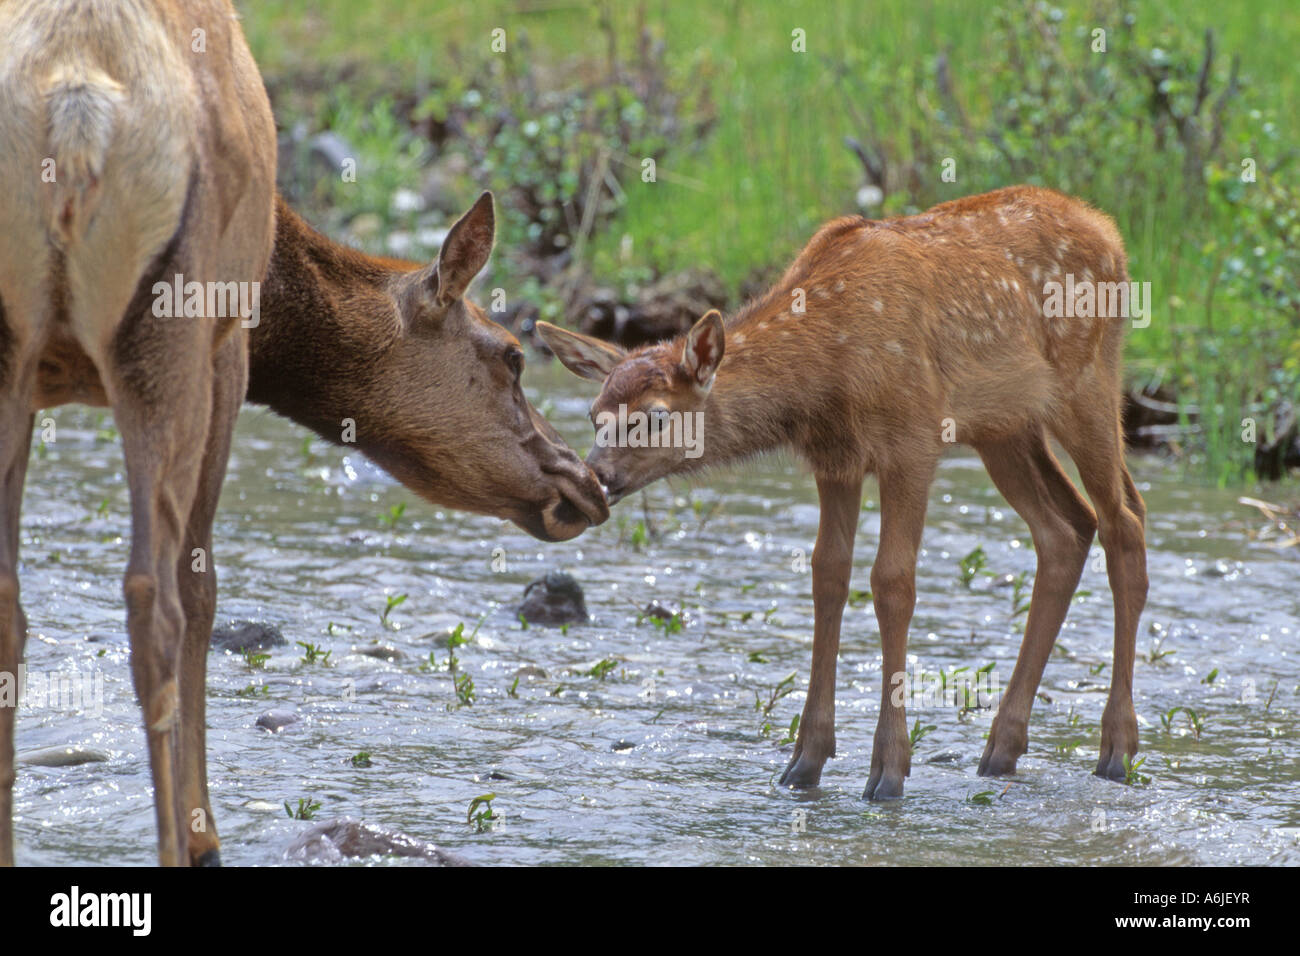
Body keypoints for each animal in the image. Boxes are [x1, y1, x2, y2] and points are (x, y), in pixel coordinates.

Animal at [0, 0, 606, 866]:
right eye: (512, 356)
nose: (582, 482)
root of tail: (71, 101)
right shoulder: (228, 356)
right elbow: (203, 591)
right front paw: (205, 831)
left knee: (13, 604)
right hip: (166, 333)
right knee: (155, 599)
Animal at [538, 185, 1148, 800]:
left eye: (656, 418)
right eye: (594, 415)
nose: (592, 481)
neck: (826, 377)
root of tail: (1112, 234)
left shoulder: (912, 440)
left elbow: (892, 582)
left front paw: (889, 768)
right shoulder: (835, 458)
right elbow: (828, 574)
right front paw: (806, 758)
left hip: (1087, 382)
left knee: (1124, 521)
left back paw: (1116, 749)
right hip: (1004, 426)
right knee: (1066, 527)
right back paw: (1002, 747)